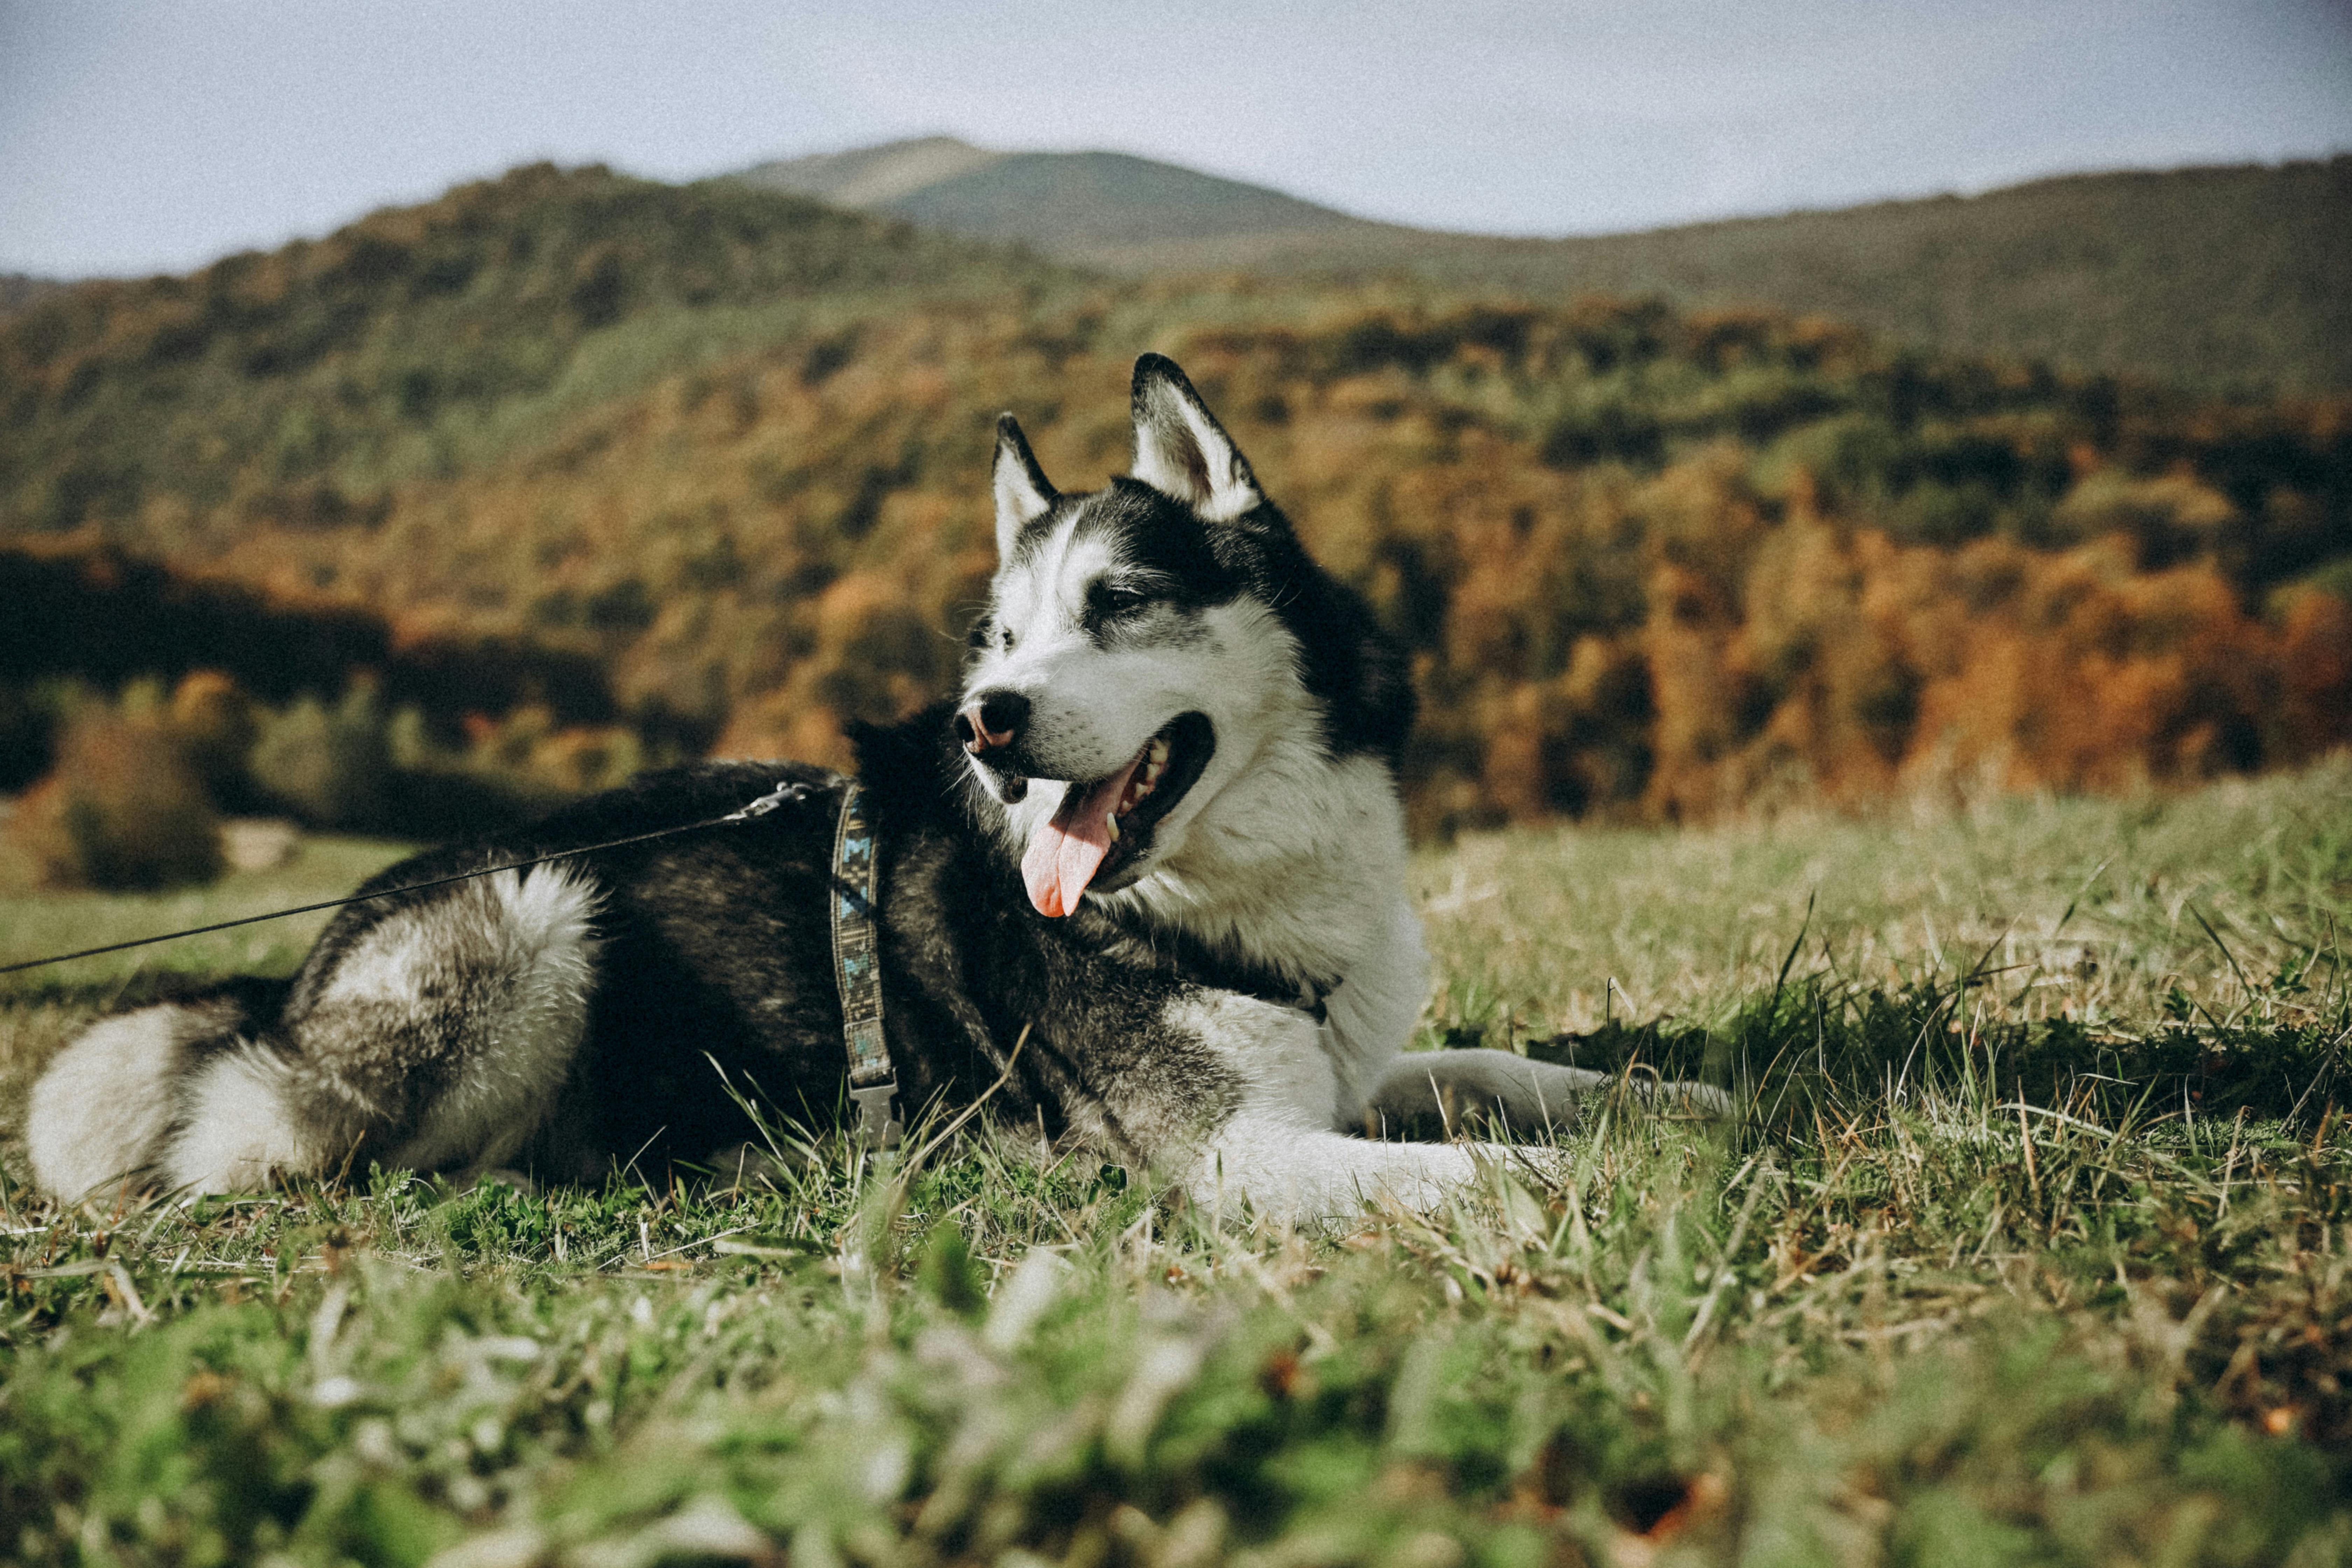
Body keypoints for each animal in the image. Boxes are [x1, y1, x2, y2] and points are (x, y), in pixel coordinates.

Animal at [18, 359, 1712, 1222]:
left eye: (1114, 604)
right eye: (1002, 638)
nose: (987, 722)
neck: (1230, 889)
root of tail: (292, 976)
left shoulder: (1346, 1067)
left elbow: (1497, 1068)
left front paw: (1667, 1100)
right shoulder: (1239, 1154)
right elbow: (1475, 1166)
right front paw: (1606, 1183)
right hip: (530, 912)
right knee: (300, 1151)